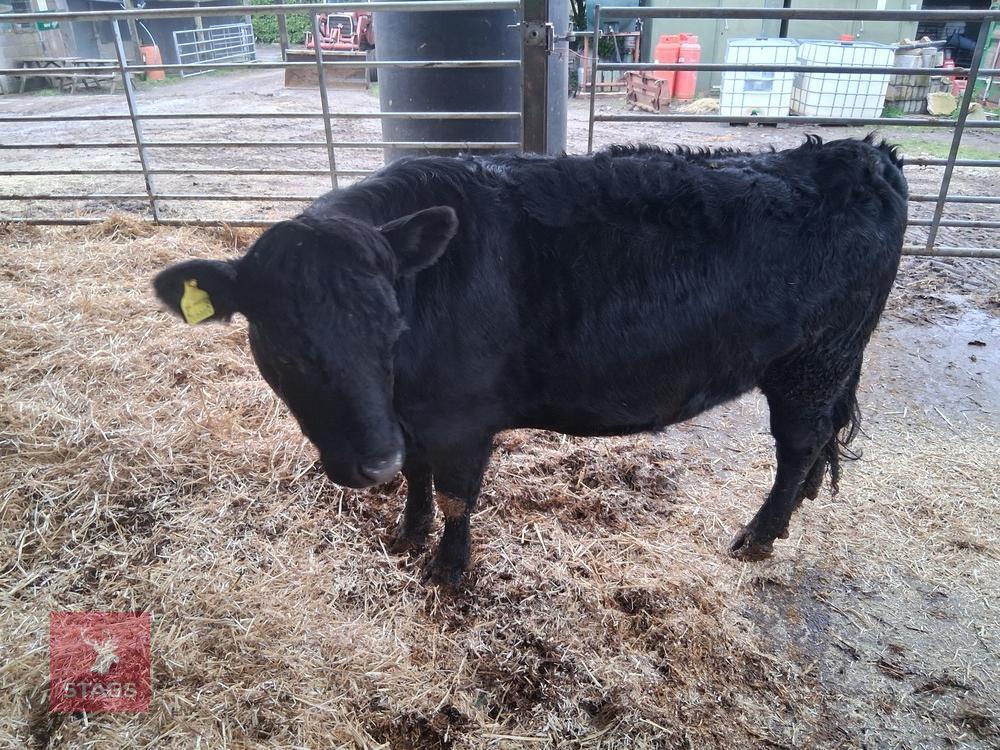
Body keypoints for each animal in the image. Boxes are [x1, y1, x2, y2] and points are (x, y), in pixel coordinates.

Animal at [153, 135, 907, 587]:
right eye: (283, 344)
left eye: (390, 326)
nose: (372, 464)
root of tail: (858, 153)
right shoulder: (414, 417)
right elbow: (420, 477)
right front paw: (408, 533)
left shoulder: (460, 418)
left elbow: (457, 494)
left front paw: (447, 569)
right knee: (816, 445)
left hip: (814, 360)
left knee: (798, 442)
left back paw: (760, 536)